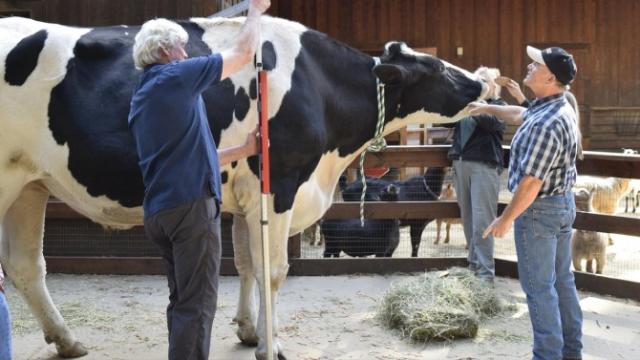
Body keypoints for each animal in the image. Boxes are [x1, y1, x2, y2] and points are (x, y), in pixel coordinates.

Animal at [0, 14, 488, 360]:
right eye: (439, 69)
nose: (482, 80)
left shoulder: (246, 194)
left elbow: (248, 265)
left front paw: (249, 330)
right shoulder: (280, 186)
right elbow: (273, 271)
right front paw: (271, 346)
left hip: (30, 185)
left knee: (25, 266)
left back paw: (67, 340)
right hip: (8, 181)